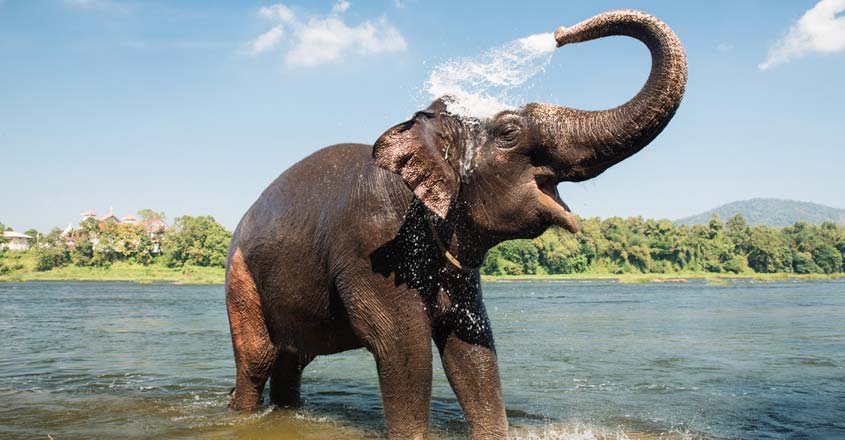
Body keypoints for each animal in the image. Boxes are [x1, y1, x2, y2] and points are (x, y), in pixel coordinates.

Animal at [225, 9, 687, 440]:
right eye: (509, 131)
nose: (559, 33)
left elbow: (471, 348)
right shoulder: (372, 246)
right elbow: (403, 348)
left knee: (291, 361)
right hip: (239, 278)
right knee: (258, 360)